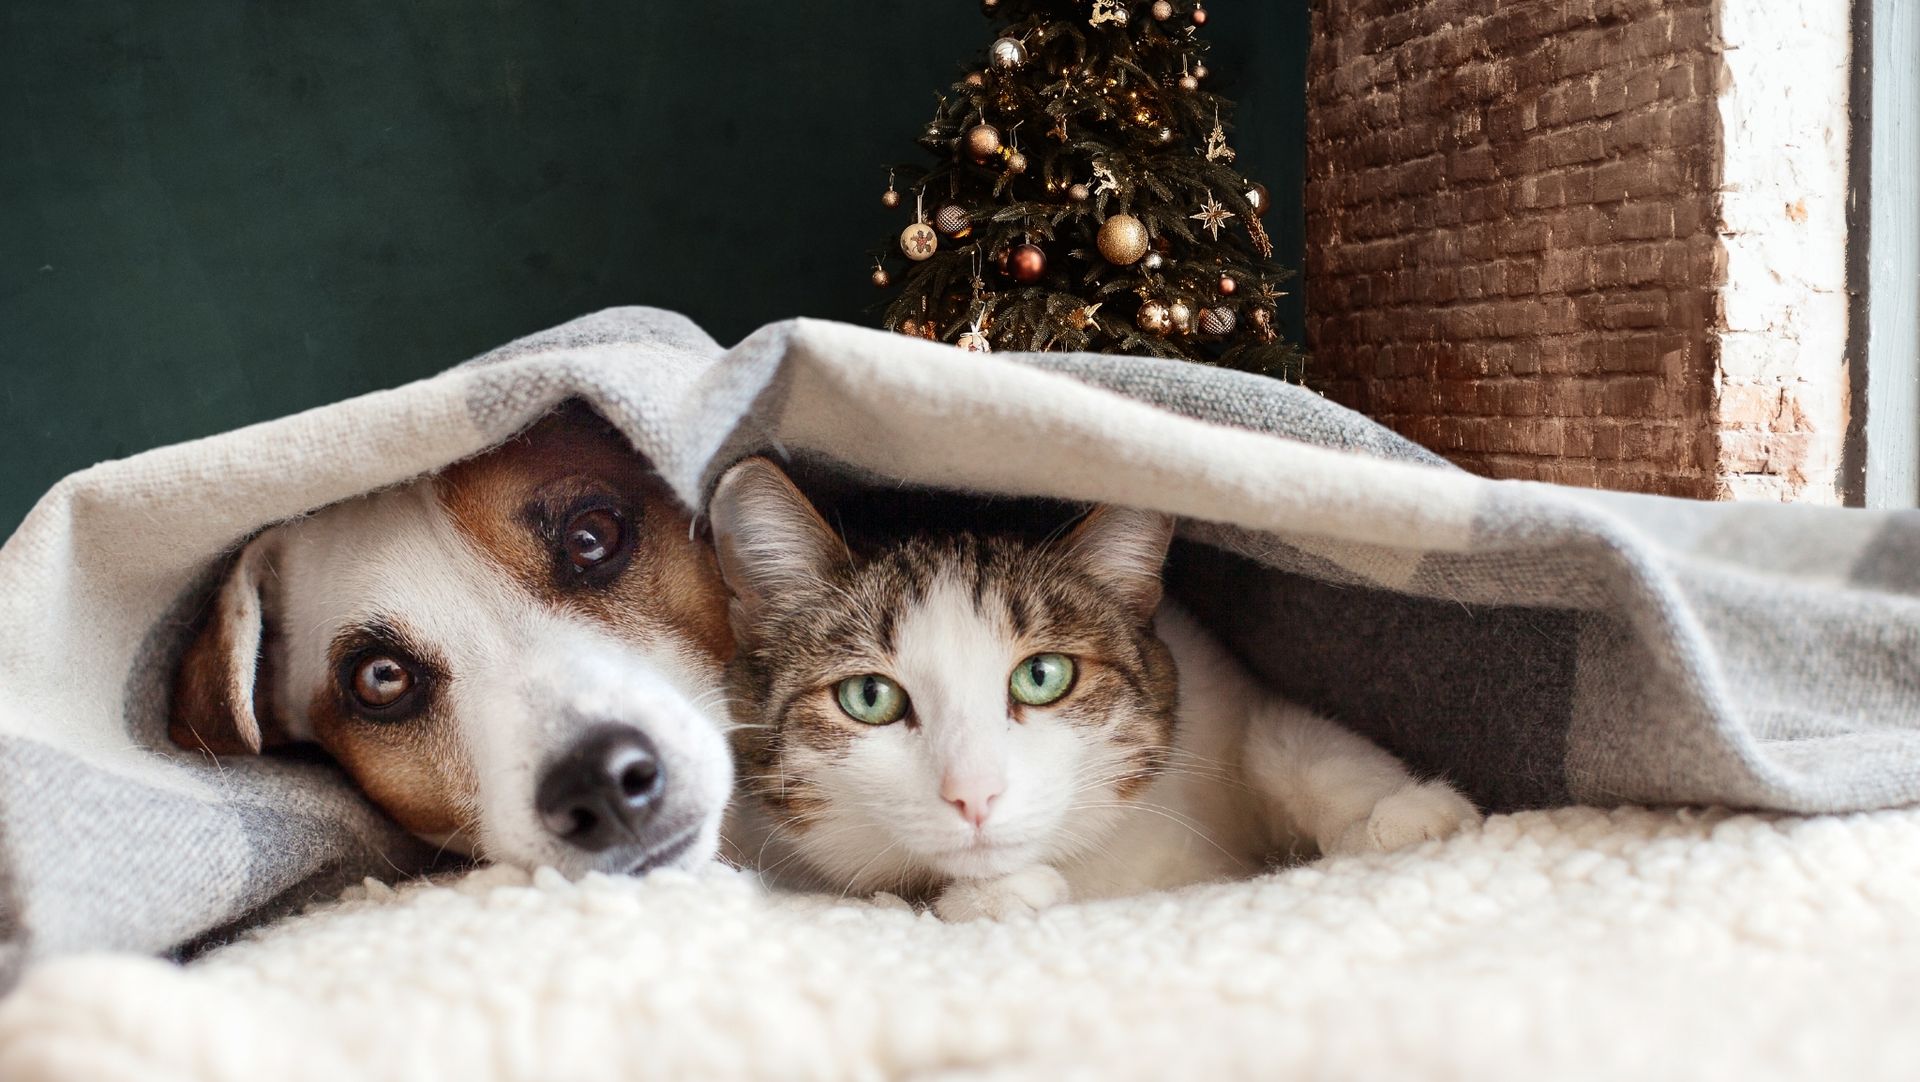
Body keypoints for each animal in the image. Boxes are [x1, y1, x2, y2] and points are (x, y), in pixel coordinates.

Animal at [714, 456, 1474, 920]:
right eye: (869, 698)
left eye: (1043, 676)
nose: (975, 794)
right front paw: (993, 895)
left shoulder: (1216, 682)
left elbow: (1287, 738)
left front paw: (1404, 814)